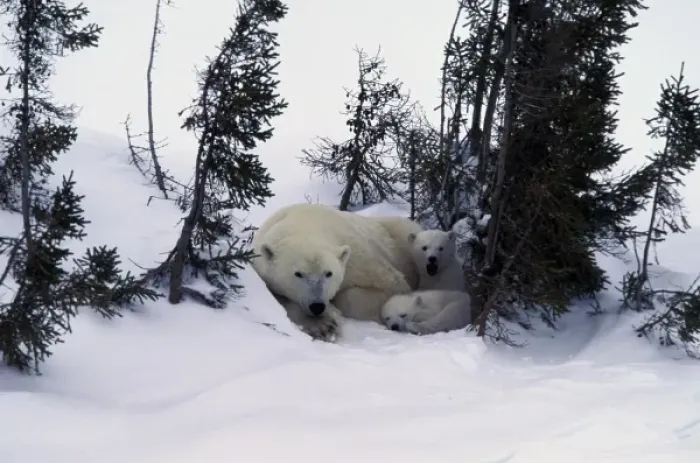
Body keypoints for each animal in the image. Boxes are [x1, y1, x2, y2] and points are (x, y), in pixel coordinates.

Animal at [250, 203, 420, 341]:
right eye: (298, 274)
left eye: (328, 273)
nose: (317, 306)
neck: (305, 222)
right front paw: (322, 326)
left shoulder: (360, 259)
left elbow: (393, 285)